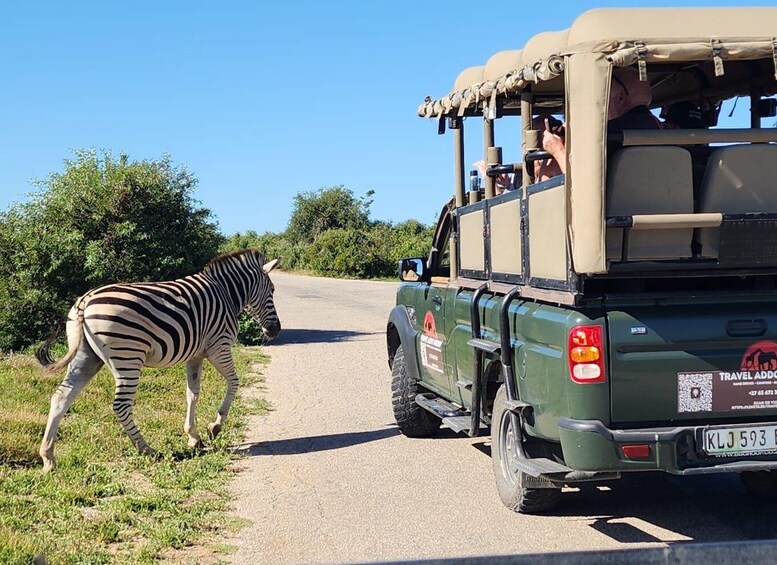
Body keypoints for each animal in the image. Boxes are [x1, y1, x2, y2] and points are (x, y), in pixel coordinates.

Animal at [36, 249, 280, 472]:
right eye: (272, 290)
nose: (275, 330)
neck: (226, 293)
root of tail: (85, 301)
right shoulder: (218, 346)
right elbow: (234, 382)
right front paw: (215, 426)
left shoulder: (195, 354)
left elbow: (192, 393)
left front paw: (193, 436)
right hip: (127, 357)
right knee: (121, 405)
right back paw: (147, 449)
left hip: (87, 357)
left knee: (61, 397)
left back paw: (48, 457)